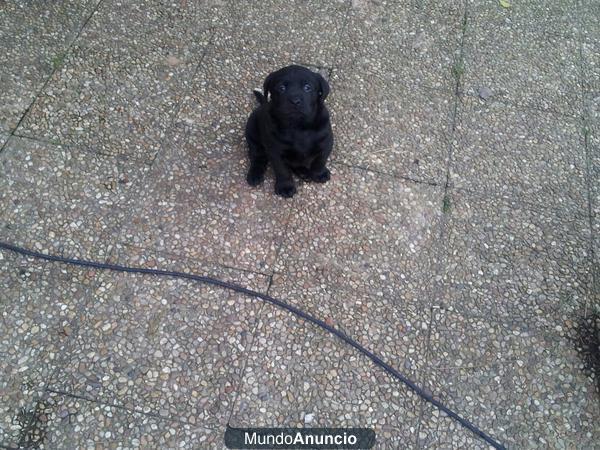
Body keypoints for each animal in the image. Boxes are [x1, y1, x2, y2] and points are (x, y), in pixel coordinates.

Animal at [246, 64, 336, 197]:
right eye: (281, 88)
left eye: (307, 87)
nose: (295, 101)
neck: (298, 126)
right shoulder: (276, 151)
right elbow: (282, 170)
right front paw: (285, 187)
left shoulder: (326, 143)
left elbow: (320, 160)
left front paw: (319, 174)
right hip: (252, 134)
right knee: (258, 157)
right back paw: (255, 175)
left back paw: (304, 172)